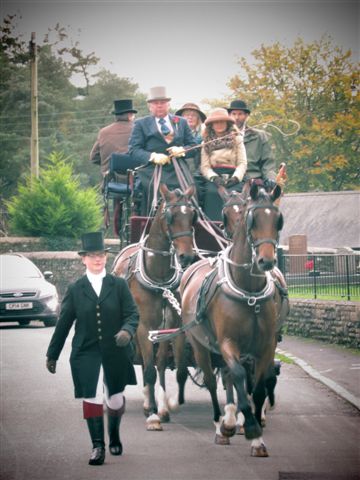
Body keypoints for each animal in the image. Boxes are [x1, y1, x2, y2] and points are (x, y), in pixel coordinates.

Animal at [112, 182, 197, 430]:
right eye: (170, 216)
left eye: (193, 216)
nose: (186, 256)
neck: (159, 280)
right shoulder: (144, 328)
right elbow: (148, 370)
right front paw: (151, 412)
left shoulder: (174, 329)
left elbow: (175, 370)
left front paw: (167, 406)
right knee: (144, 363)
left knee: (158, 365)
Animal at [180, 182, 284, 456]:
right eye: (252, 219)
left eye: (278, 220)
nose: (266, 260)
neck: (248, 291)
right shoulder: (228, 343)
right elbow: (237, 375)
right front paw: (246, 426)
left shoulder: (266, 345)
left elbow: (257, 387)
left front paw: (257, 438)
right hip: (200, 346)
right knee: (211, 380)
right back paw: (220, 424)